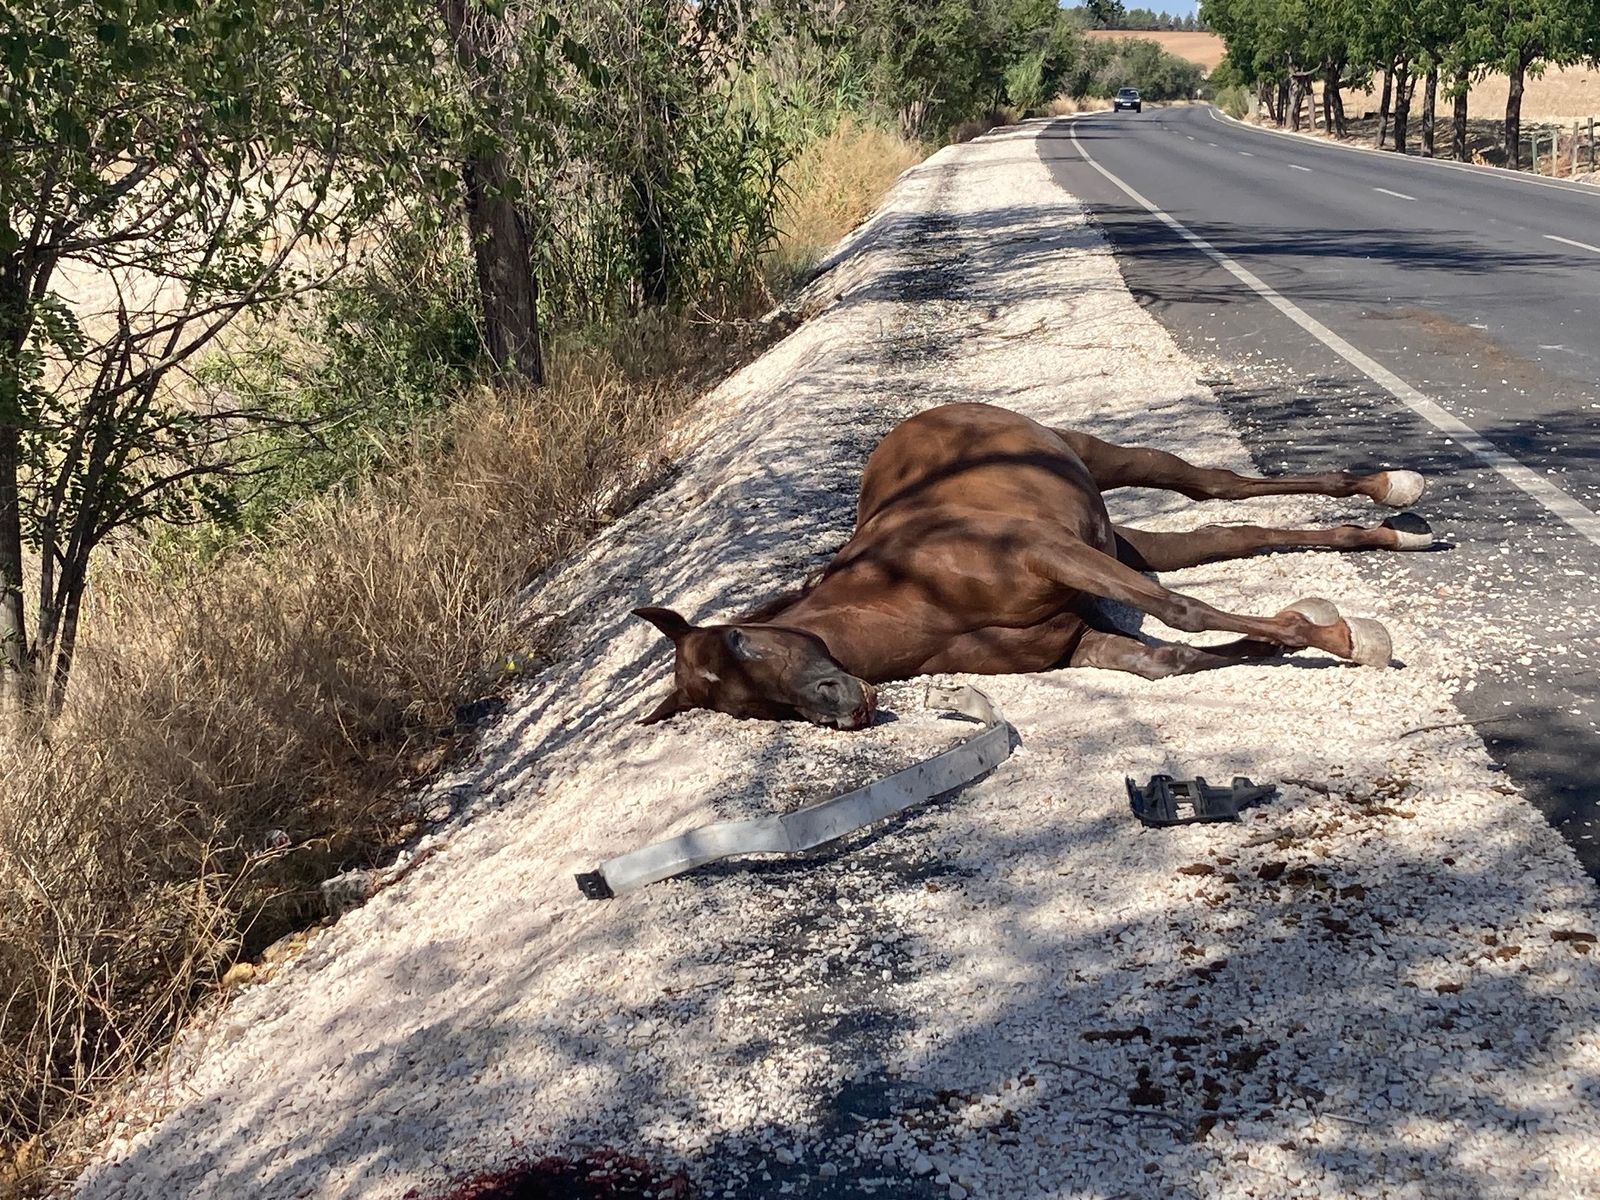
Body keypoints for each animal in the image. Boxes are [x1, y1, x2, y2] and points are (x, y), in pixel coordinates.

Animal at [634, 402, 1433, 730]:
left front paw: (1343, 639)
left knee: (1211, 484)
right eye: (748, 709)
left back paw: (1391, 487)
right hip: (1124, 540)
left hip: (1101, 464)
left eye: (740, 640)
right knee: (1228, 530)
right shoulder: (1079, 639)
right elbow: (1175, 659)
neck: (912, 597)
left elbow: (1182, 611)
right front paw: (1313, 627)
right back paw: (1390, 531)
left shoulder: (1050, 555)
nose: (839, 706)